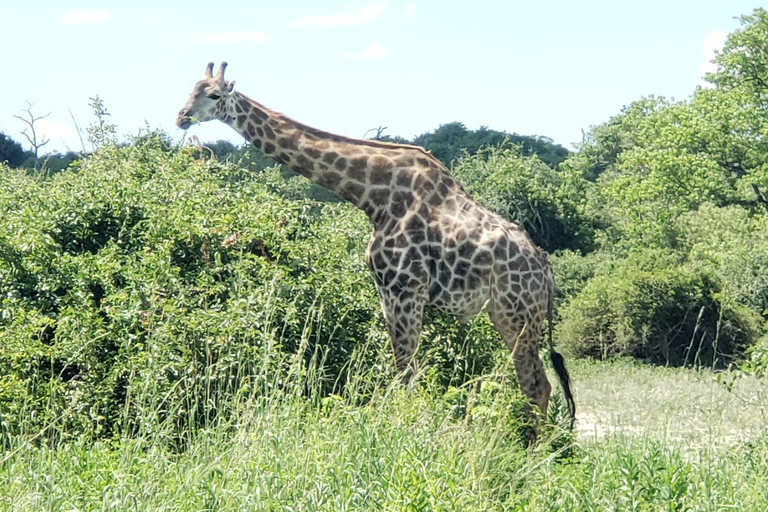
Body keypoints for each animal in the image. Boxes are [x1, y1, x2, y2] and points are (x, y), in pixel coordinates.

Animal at [177, 63, 572, 432]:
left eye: (213, 95)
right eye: (190, 89)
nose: (181, 117)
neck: (373, 196)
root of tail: (547, 273)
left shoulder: (404, 290)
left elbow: (405, 374)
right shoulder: (386, 292)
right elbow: (404, 372)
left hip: (515, 314)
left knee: (537, 385)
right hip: (508, 315)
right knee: (537, 384)